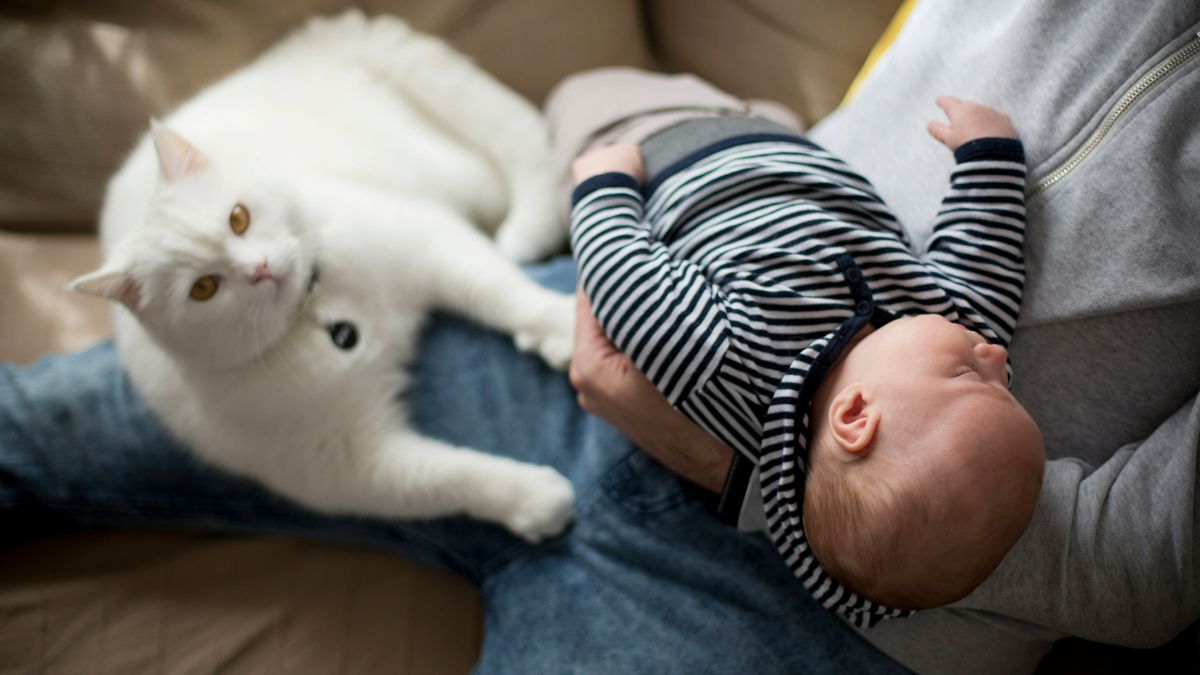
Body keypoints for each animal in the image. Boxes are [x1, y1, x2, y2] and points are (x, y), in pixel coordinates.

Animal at [72, 11, 578, 540]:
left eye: (238, 218)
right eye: (204, 288)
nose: (260, 269)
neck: (324, 312)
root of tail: (299, 52)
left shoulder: (431, 244)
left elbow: (507, 295)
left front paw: (565, 326)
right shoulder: (347, 467)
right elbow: (450, 478)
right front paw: (532, 498)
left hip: (460, 179)